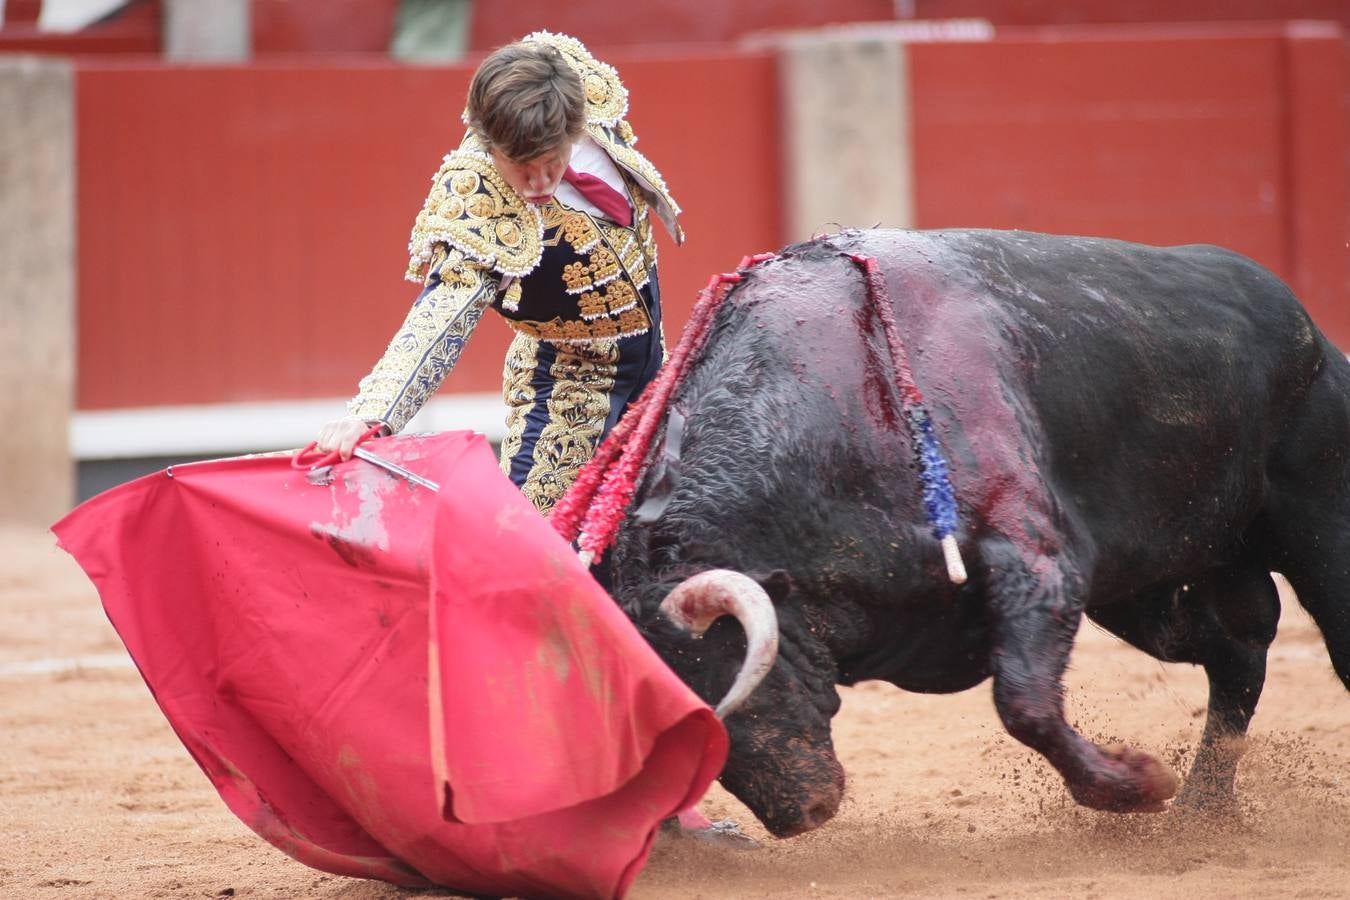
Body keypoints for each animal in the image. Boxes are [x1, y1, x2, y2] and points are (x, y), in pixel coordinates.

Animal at [610, 229, 1350, 841]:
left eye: (723, 672)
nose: (799, 814)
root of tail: (1307, 326)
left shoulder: (1035, 556)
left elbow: (1023, 701)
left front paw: (1139, 785)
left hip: (1320, 525)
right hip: (1158, 589)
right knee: (1234, 654)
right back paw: (1204, 810)